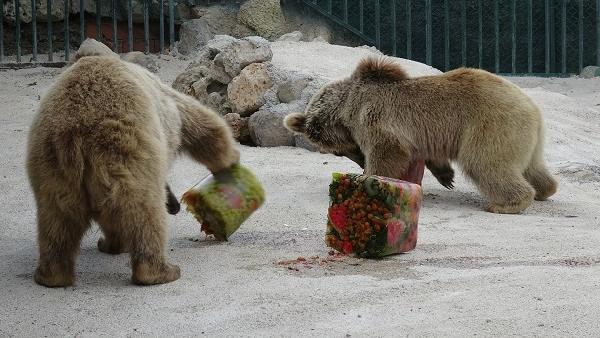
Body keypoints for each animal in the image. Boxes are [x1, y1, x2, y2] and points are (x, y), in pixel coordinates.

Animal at [27, 40, 239, 288]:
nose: (175, 205)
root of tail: (77, 135)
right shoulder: (165, 100)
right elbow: (199, 122)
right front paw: (229, 160)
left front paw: (107, 244)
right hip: (128, 154)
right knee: (143, 212)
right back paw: (162, 270)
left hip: (53, 168)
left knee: (56, 220)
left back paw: (52, 274)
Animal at [286, 55, 556, 214]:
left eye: (339, 152)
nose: (360, 161)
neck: (348, 104)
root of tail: (533, 108)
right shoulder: (426, 134)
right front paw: (446, 176)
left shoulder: (376, 118)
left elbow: (387, 152)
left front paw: (369, 179)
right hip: (524, 138)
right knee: (532, 167)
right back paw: (545, 189)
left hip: (491, 125)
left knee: (484, 163)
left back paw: (505, 203)